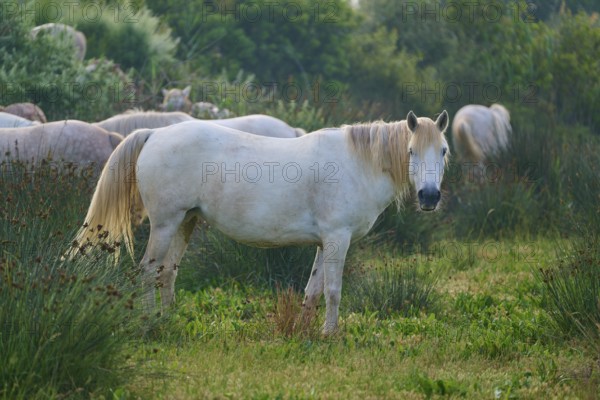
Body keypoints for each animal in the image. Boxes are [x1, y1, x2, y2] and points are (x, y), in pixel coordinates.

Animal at [72, 110, 448, 334]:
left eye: (443, 150)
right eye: (411, 151)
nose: (429, 196)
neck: (357, 163)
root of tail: (154, 134)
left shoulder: (323, 242)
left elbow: (312, 290)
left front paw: (305, 333)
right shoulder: (337, 239)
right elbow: (333, 290)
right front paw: (330, 333)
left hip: (184, 223)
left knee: (167, 273)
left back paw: (169, 320)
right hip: (165, 224)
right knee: (149, 272)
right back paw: (150, 323)